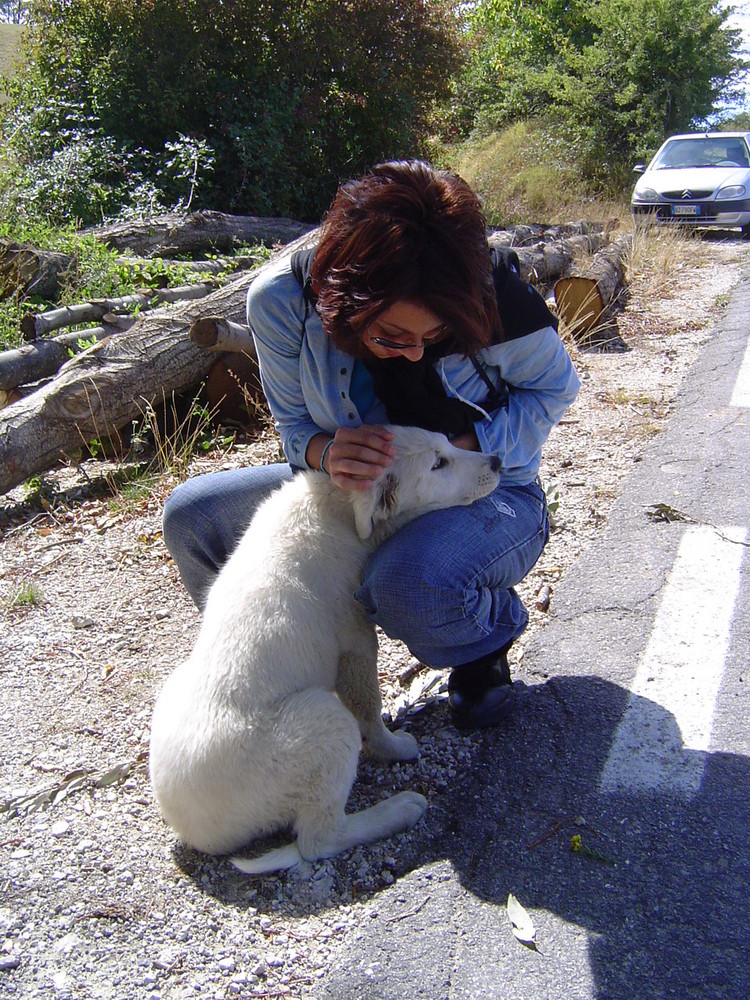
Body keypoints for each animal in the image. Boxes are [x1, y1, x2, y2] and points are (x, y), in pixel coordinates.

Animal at [148, 426, 502, 872]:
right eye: (438, 464)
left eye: (450, 441)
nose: (497, 461)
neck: (340, 508)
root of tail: (193, 831)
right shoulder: (355, 641)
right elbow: (367, 709)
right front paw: (392, 747)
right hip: (322, 722)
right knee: (319, 840)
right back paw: (399, 810)